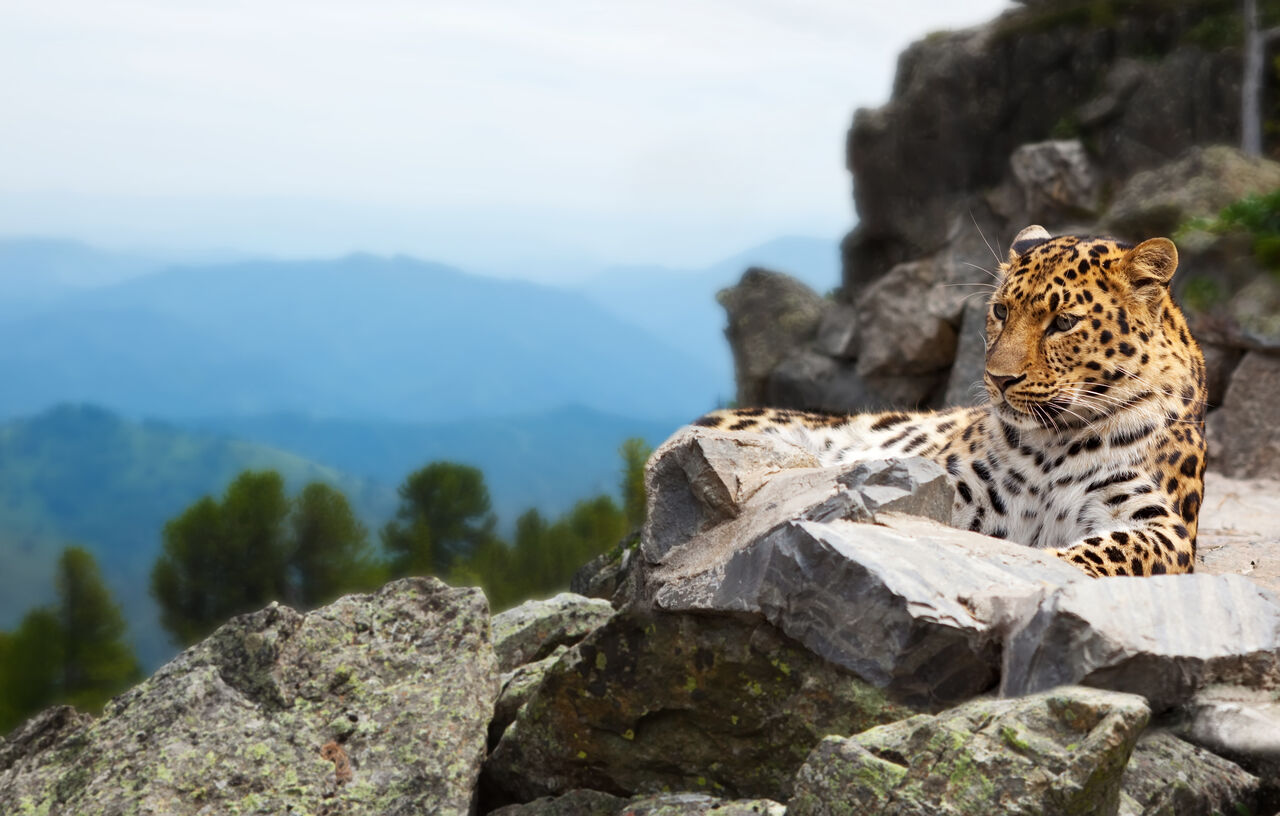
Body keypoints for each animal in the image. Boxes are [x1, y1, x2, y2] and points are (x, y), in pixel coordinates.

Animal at [694, 225, 1208, 578]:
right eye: (1001, 310)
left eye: (1063, 322)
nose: (1000, 379)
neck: (1053, 442)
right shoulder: (956, 489)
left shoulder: (1162, 524)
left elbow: (1109, 549)